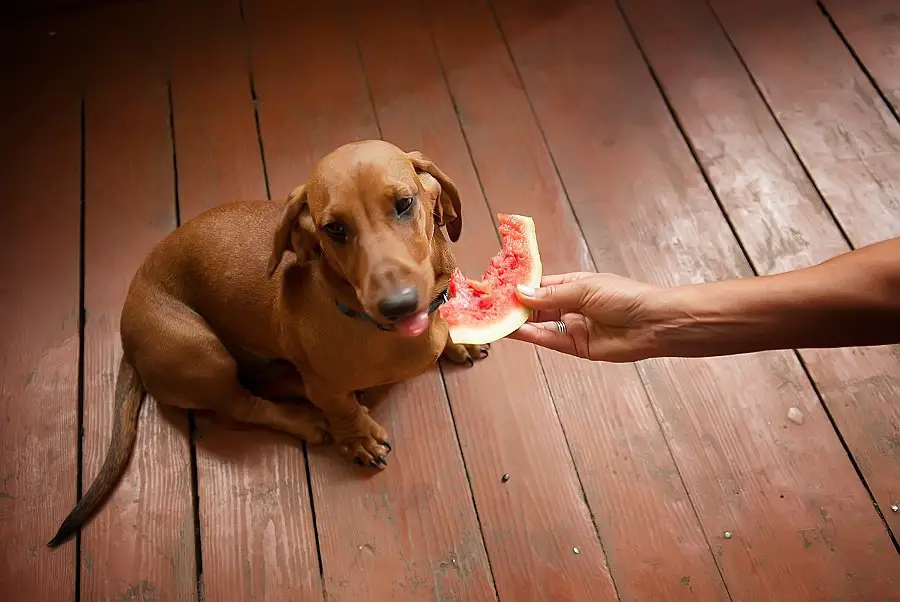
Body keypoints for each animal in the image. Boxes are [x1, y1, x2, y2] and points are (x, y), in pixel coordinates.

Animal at [46, 139, 488, 544]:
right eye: (335, 229)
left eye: (404, 203)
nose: (399, 305)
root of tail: (126, 330)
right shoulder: (328, 386)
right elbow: (342, 408)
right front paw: (358, 438)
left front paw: (457, 340)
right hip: (203, 354)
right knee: (242, 407)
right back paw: (308, 419)